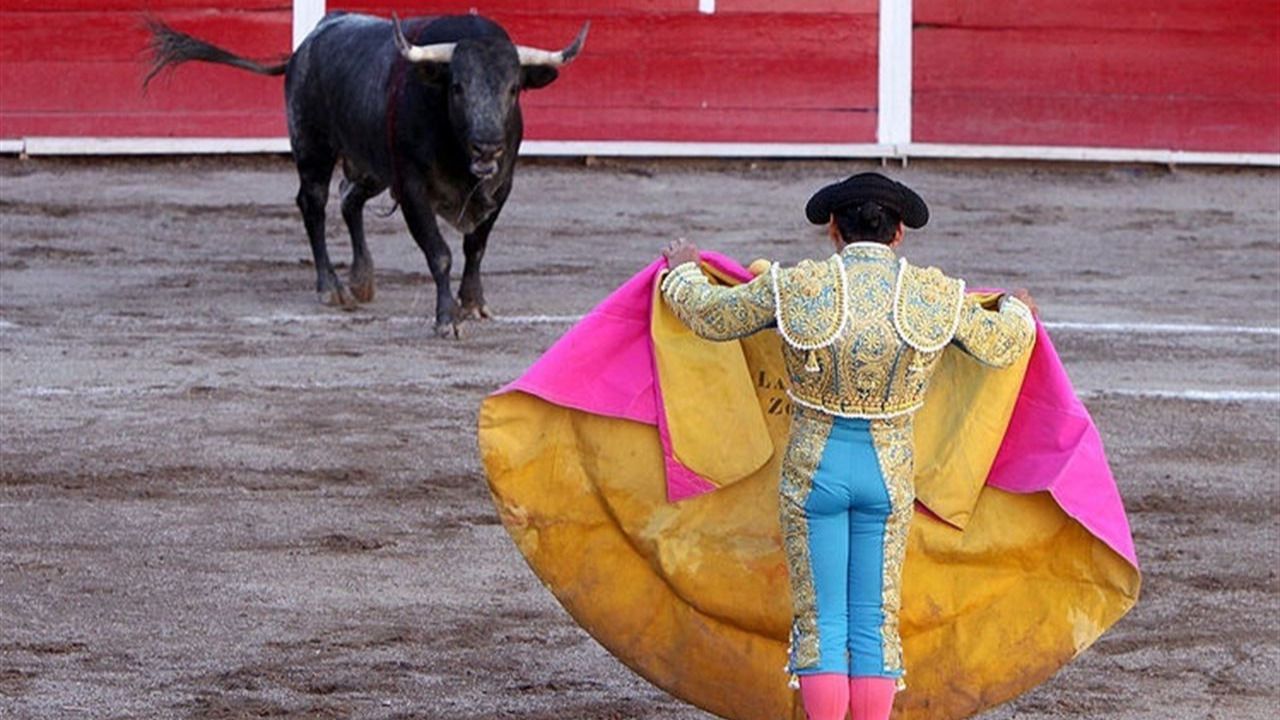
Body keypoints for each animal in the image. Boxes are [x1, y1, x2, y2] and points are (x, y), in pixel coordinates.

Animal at [146, 11, 588, 335]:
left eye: (513, 89)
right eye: (457, 87)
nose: (487, 145)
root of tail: (307, 44)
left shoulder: (500, 187)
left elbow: (475, 247)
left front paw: (473, 303)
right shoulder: (412, 188)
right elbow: (440, 253)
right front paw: (446, 319)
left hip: (372, 166)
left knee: (348, 198)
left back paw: (361, 278)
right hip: (313, 148)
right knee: (313, 204)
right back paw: (331, 287)